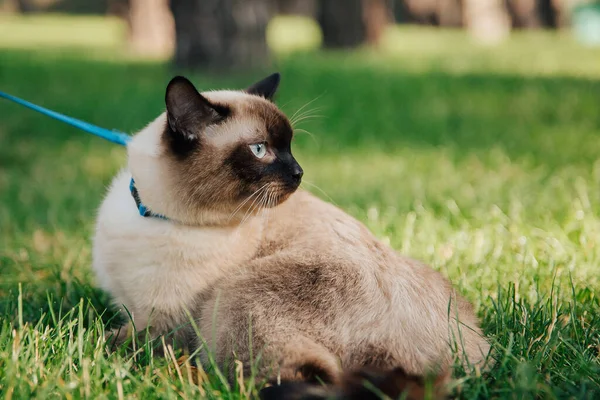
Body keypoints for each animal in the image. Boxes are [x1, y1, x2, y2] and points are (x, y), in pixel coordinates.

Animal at [91, 72, 490, 396]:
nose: (299, 172)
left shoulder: (165, 322)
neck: (157, 216)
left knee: (308, 377)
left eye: (289, 147)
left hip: (235, 296)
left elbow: (109, 340)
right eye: (260, 149)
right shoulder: (134, 309)